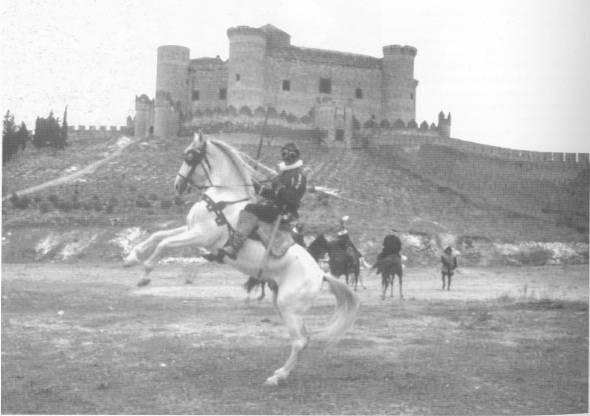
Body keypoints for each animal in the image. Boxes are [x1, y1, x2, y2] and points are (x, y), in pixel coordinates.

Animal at [122, 133, 358, 386]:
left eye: (190, 156)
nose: (178, 185)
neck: (224, 198)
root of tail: (321, 274)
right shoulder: (191, 230)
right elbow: (158, 236)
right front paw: (131, 257)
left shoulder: (200, 235)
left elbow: (164, 244)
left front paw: (145, 275)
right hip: (283, 304)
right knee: (305, 339)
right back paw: (281, 373)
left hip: (290, 308)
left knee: (299, 341)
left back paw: (277, 377)